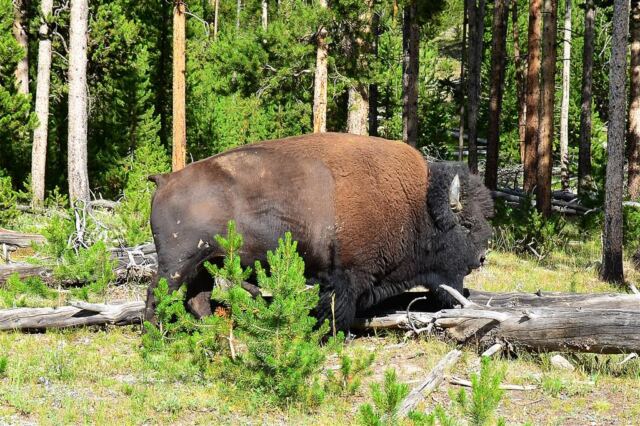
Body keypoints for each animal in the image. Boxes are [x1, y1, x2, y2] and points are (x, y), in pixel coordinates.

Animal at [144, 133, 493, 331]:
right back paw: (154, 336)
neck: (416, 204)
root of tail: (166, 179)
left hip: (204, 263)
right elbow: (338, 309)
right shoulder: (347, 276)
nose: (481, 258)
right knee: (155, 294)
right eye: (467, 224)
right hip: (177, 264)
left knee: (197, 298)